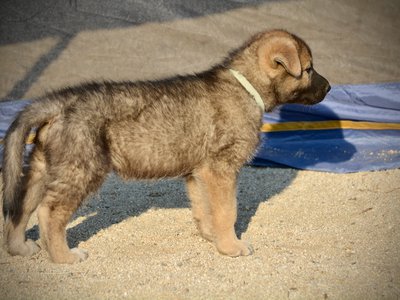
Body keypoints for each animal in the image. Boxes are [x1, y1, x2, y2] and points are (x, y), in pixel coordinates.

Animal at [1, 28, 330, 262]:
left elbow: (205, 208)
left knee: (21, 206)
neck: (245, 87)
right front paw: (231, 247)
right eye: (309, 69)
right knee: (49, 212)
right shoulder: (221, 169)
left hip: (43, 165)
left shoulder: (199, 173)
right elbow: (228, 211)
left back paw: (19, 249)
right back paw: (64, 257)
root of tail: (57, 102)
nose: (329, 88)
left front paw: (212, 238)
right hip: (81, 169)